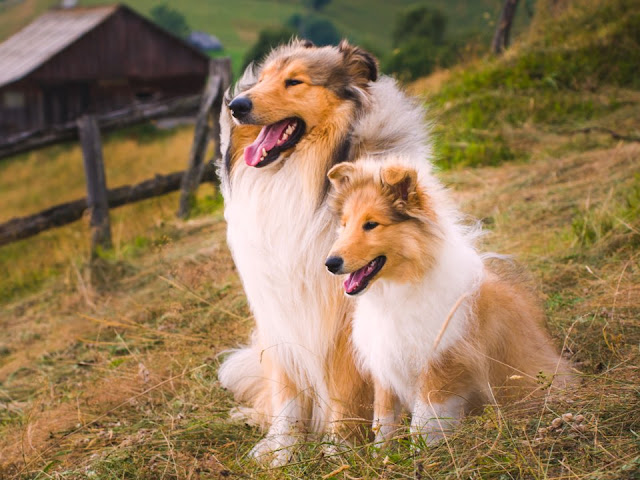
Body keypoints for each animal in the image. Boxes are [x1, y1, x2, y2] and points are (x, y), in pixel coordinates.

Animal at [215, 40, 430, 464]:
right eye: (262, 79)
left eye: (294, 81)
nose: (236, 106)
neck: (302, 176)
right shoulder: (277, 309)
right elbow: (286, 392)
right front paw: (281, 451)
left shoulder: (342, 317)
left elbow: (342, 391)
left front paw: (338, 451)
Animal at [328, 160, 572, 446]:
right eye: (345, 224)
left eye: (371, 224)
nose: (330, 263)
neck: (399, 291)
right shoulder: (385, 370)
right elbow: (383, 425)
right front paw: (384, 455)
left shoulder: (441, 365)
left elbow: (423, 425)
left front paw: (422, 455)